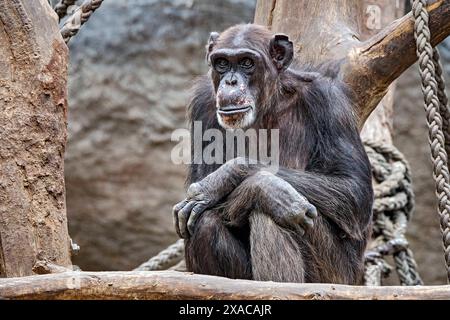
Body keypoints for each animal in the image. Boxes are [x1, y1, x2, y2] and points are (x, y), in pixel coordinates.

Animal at [172, 25, 372, 284]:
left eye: (247, 62)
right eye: (222, 63)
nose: (231, 81)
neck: (268, 103)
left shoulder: (329, 100)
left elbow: (354, 189)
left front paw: (236, 180)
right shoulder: (203, 103)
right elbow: (198, 183)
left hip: (338, 276)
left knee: (274, 211)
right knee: (205, 223)